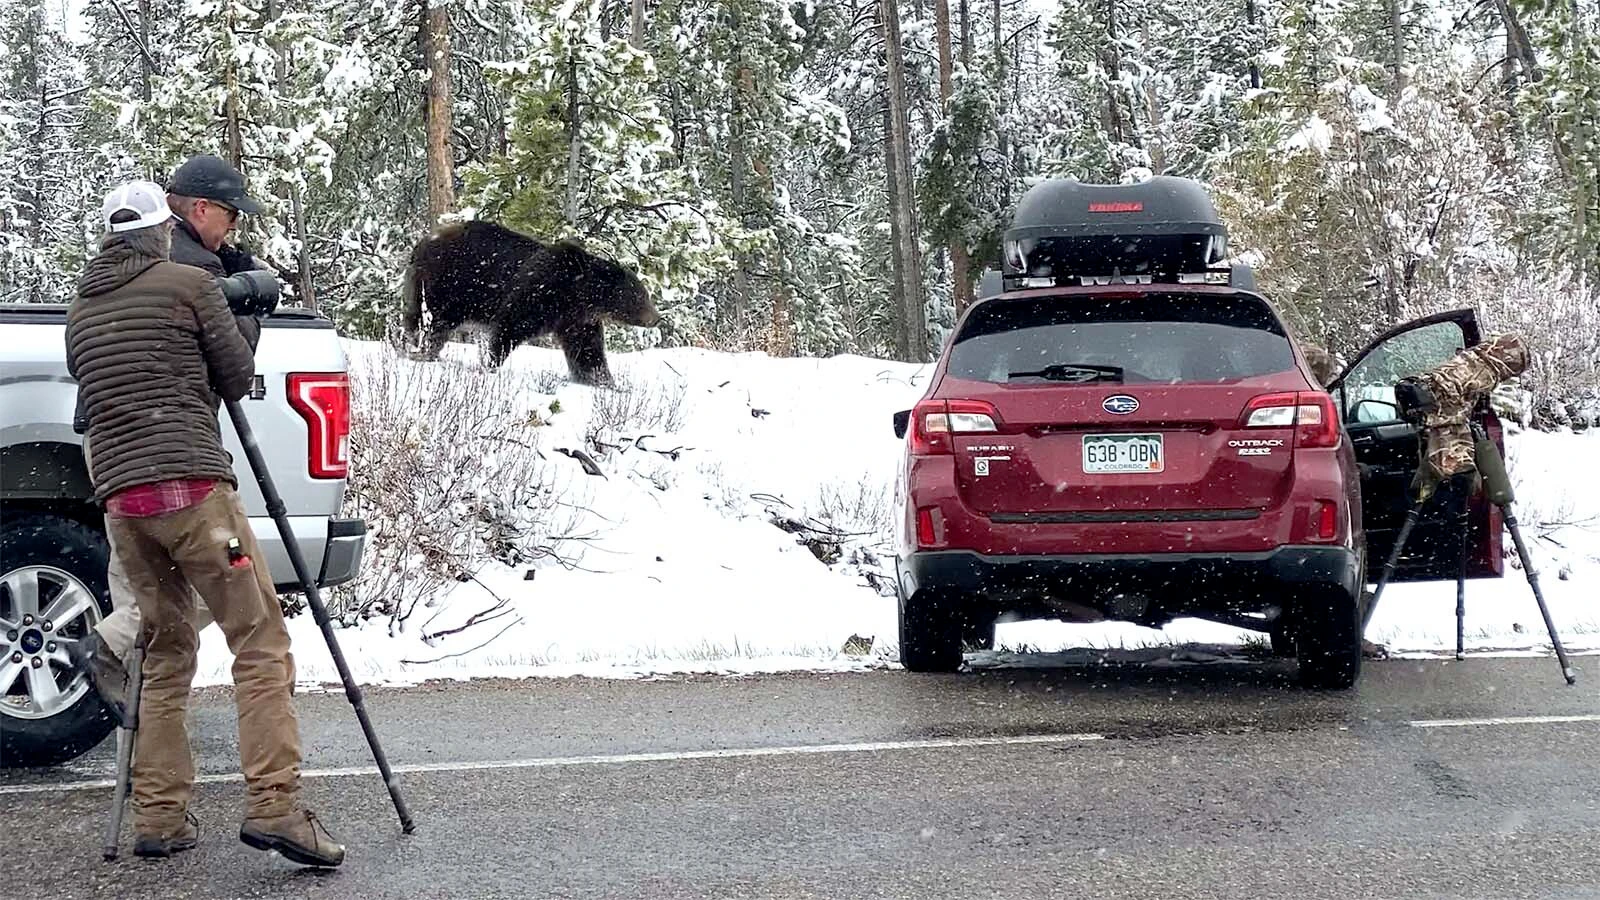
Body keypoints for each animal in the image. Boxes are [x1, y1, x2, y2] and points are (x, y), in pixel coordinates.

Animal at [398, 219, 661, 384]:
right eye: (639, 296)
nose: (657, 318)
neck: (578, 294)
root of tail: (421, 243)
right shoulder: (538, 294)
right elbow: (509, 327)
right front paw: (489, 363)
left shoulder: (578, 320)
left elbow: (588, 350)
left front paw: (603, 379)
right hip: (448, 286)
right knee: (432, 321)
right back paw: (420, 349)